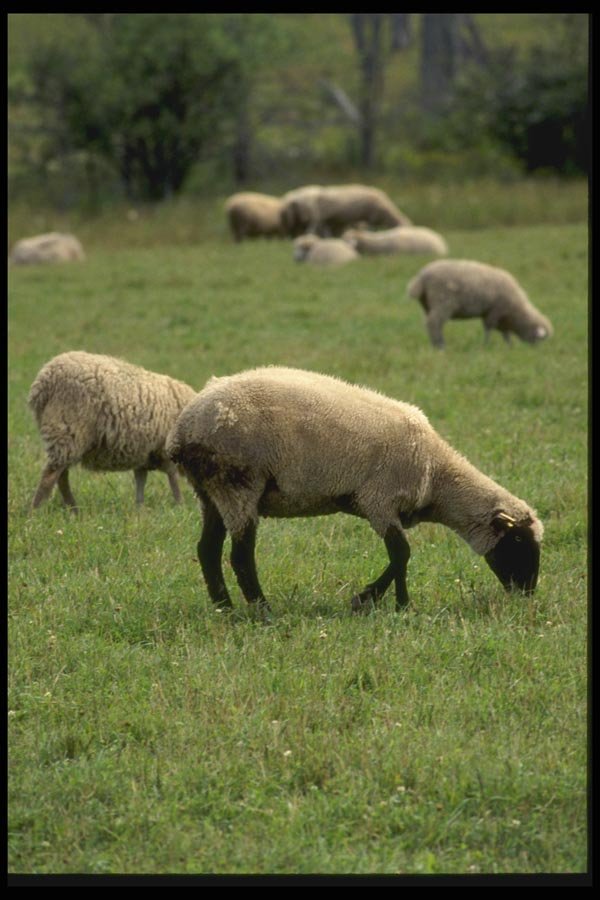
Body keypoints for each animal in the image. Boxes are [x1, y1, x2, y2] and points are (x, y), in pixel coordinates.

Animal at [28, 351, 197, 512]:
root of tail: (44, 381)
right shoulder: (165, 451)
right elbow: (173, 478)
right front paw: (181, 506)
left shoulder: (144, 454)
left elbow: (141, 480)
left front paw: (140, 509)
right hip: (68, 430)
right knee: (50, 476)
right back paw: (35, 512)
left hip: (66, 436)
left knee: (61, 475)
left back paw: (73, 509)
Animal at [166, 365, 542, 616]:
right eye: (518, 541)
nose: (527, 592)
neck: (437, 476)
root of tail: (183, 428)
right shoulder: (379, 500)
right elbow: (401, 554)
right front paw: (384, 601)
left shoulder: (383, 506)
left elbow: (399, 556)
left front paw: (383, 602)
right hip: (238, 482)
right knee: (240, 556)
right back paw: (263, 611)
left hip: (210, 492)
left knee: (207, 550)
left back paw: (225, 609)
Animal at [280, 184, 412, 237]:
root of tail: (292, 197)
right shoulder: (366, 218)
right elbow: (367, 228)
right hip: (312, 216)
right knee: (310, 230)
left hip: (298, 220)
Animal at [407, 259, 553, 349]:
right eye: (538, 339)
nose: (535, 350)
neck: (517, 311)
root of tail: (421, 278)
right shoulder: (496, 311)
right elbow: (488, 328)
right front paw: (485, 345)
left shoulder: (500, 316)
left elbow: (505, 333)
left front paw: (509, 347)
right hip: (443, 302)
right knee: (434, 323)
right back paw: (441, 346)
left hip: (427, 304)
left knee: (430, 324)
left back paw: (435, 344)